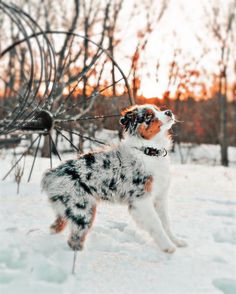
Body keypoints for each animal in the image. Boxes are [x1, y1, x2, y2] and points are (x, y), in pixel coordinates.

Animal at [41, 104, 187, 254]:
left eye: (158, 109)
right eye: (148, 116)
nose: (169, 112)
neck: (149, 151)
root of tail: (52, 174)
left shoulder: (160, 197)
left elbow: (166, 222)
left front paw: (176, 241)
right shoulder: (141, 200)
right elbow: (156, 223)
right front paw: (168, 247)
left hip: (68, 210)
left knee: (55, 227)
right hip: (83, 210)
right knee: (74, 240)